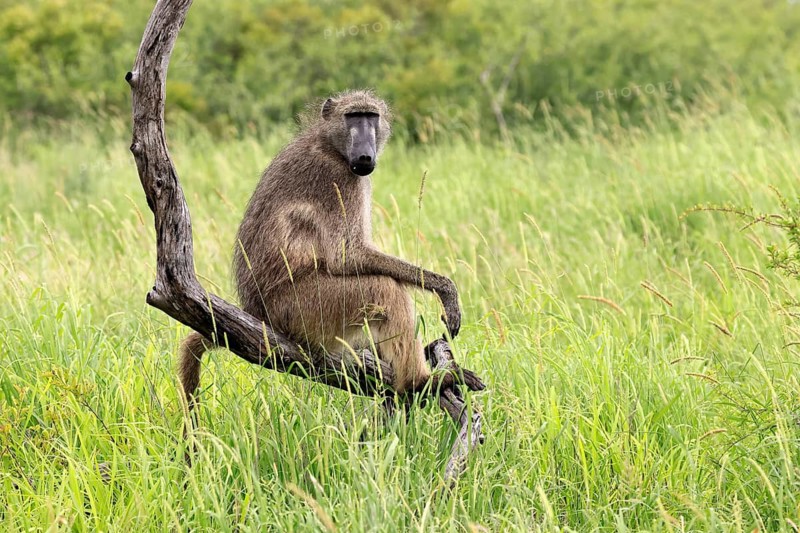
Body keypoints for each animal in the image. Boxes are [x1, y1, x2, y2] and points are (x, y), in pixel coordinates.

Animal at [178, 89, 461, 416]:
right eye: (353, 117)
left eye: (371, 117)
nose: (365, 156)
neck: (330, 144)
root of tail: (257, 313)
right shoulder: (338, 179)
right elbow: (347, 255)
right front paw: (445, 289)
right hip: (303, 308)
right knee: (385, 288)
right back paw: (420, 381)